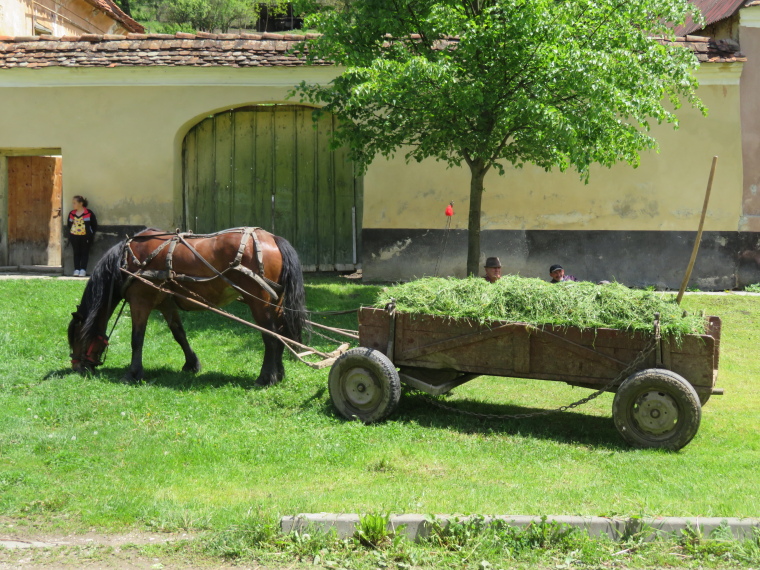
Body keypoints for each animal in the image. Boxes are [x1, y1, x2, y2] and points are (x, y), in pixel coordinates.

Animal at [65, 224, 302, 384]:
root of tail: (272, 238)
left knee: (271, 337)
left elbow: (137, 338)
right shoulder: (166, 303)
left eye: (76, 336)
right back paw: (279, 373)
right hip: (276, 302)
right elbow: (179, 334)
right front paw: (191, 364)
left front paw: (133, 373)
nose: (77, 367)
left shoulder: (140, 300)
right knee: (281, 335)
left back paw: (266, 377)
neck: (127, 259)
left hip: (259, 303)